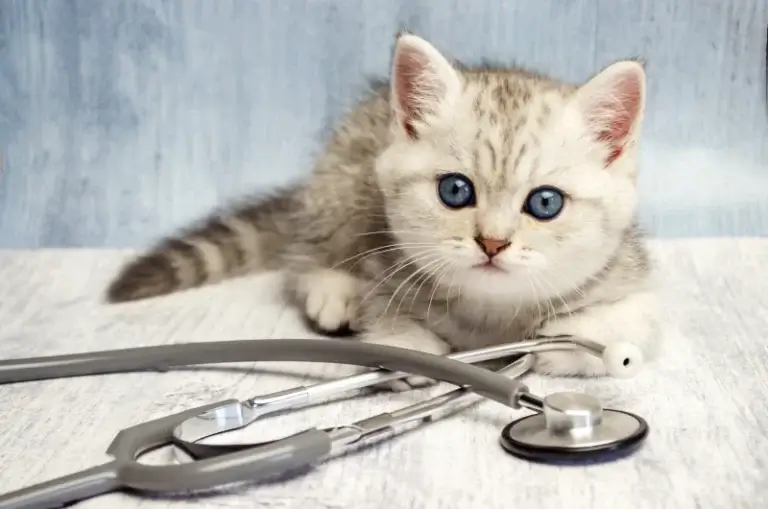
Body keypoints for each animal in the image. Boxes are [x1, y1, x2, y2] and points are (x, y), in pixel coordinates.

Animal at [105, 32, 664, 388]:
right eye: (455, 191)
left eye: (545, 203)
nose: (492, 241)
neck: (489, 315)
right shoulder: (383, 261)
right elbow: (387, 321)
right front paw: (411, 346)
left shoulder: (630, 271)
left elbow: (634, 323)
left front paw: (573, 338)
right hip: (338, 186)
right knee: (303, 254)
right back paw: (332, 289)